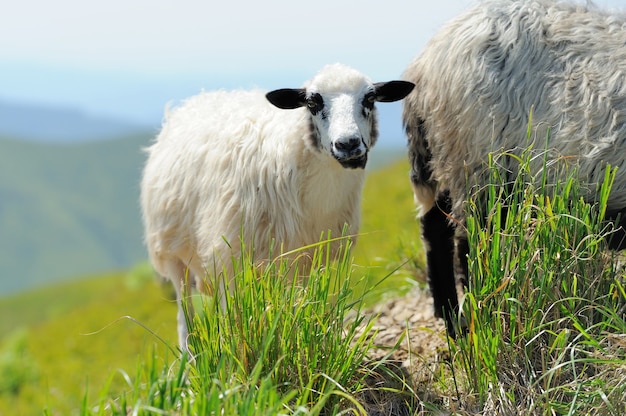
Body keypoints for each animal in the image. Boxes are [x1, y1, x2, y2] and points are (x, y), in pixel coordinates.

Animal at [142, 63, 414, 352]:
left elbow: (302, 308)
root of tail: (198, 100)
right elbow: (234, 317)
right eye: (312, 102)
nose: (348, 144)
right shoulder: (231, 257)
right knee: (185, 310)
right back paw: (189, 355)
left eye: (370, 99)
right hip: (171, 250)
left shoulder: (308, 259)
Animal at [402, 0, 624, 334]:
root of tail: (425, 63)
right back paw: (475, 320)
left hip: (449, 160)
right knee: (469, 248)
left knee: (435, 226)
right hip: (480, 164)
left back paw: (448, 316)